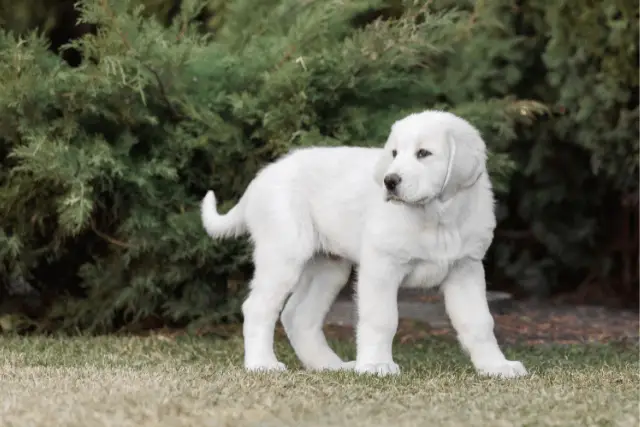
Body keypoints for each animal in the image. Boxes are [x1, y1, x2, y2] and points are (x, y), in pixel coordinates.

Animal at [202, 110, 528, 378]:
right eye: (394, 153)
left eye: (424, 153)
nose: (390, 181)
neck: (437, 217)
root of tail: (261, 178)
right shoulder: (381, 266)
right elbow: (381, 318)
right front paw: (375, 365)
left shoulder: (465, 269)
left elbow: (480, 322)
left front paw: (496, 366)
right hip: (284, 255)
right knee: (258, 307)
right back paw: (262, 364)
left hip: (328, 267)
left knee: (298, 315)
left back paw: (329, 365)